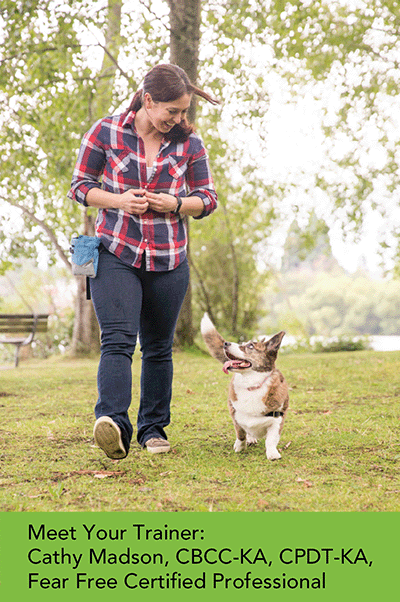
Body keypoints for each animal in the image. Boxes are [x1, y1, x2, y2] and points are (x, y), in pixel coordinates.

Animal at [202, 312, 290, 458]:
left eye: (251, 346)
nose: (225, 343)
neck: (252, 384)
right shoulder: (235, 415)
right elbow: (241, 433)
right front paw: (239, 447)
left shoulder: (278, 419)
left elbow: (271, 439)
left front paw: (272, 454)